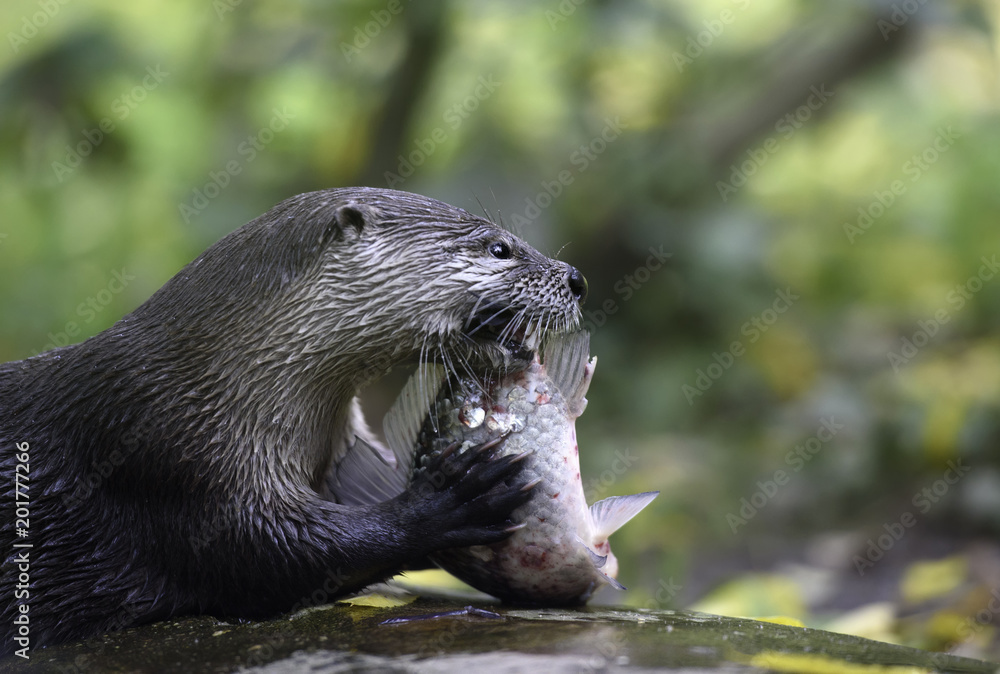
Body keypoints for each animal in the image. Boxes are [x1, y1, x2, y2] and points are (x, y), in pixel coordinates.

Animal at [0, 185, 584, 652]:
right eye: (499, 247)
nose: (577, 278)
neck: (215, 381)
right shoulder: (173, 458)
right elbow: (267, 556)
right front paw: (448, 500)